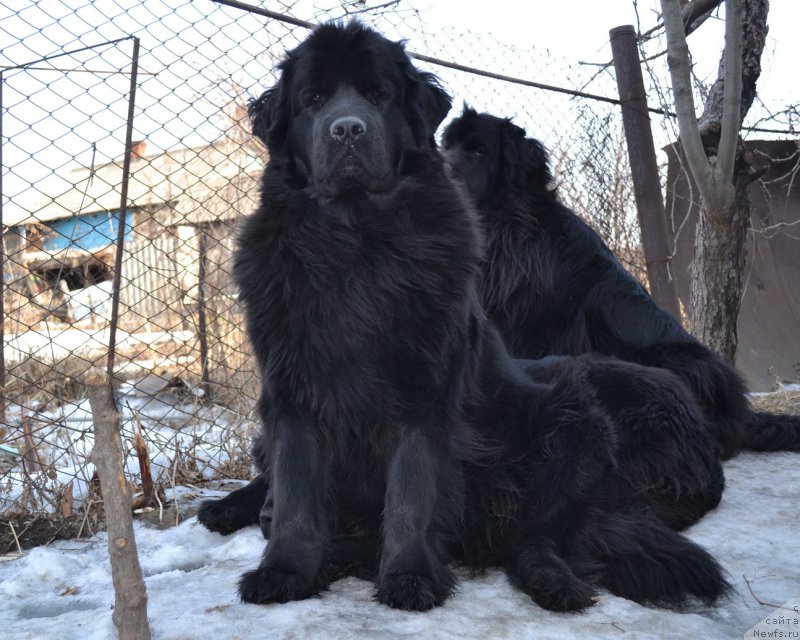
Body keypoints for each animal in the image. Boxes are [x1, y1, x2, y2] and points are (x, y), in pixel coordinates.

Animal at [198, 22, 724, 612]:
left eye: (378, 93)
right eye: (313, 99)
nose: (347, 129)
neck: (354, 241)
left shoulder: (425, 390)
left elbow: (412, 490)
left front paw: (408, 577)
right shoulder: (291, 390)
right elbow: (295, 493)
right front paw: (285, 571)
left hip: (573, 421)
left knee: (544, 534)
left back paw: (553, 580)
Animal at [440, 109, 800, 460]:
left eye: (478, 150)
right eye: (447, 145)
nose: (440, 163)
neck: (509, 225)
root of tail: (740, 416)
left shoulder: (536, 326)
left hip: (673, 362)